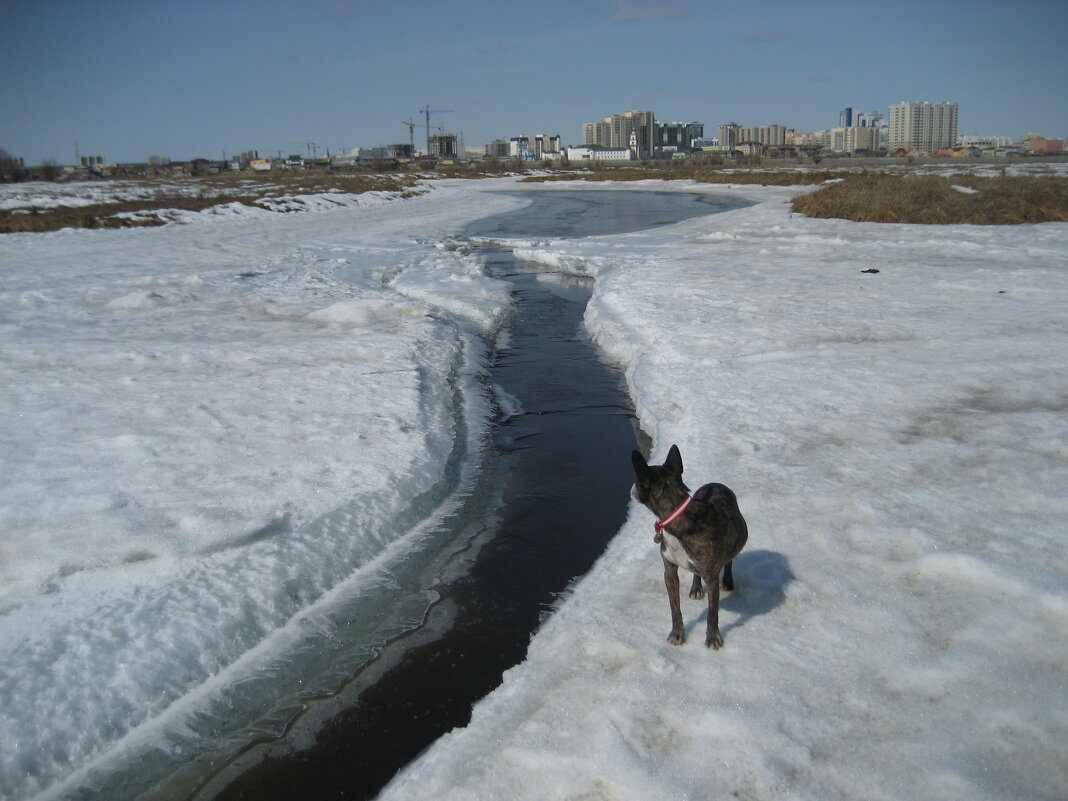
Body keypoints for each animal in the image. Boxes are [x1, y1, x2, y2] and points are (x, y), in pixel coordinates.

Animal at [627, 448, 747, 649]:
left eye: (636, 480)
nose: (631, 489)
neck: (677, 517)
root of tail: (716, 484)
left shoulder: (712, 578)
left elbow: (712, 613)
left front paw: (713, 638)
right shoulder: (669, 571)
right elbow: (675, 608)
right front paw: (677, 634)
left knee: (729, 559)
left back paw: (728, 582)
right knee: (696, 574)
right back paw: (696, 588)